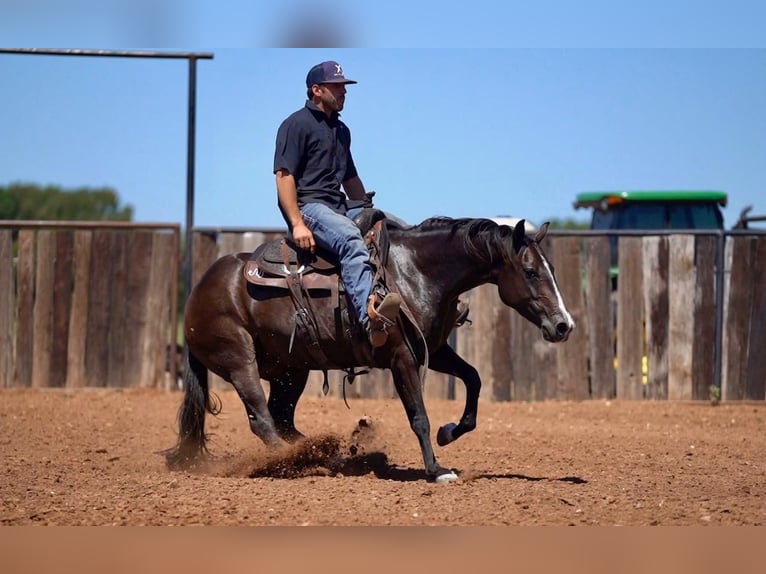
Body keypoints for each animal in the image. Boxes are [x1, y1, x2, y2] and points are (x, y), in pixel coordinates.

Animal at [168, 214, 576, 484]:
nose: (564, 325)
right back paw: (295, 461)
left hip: (291, 370)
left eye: (553, 270)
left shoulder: (434, 349)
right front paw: (436, 469)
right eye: (531, 272)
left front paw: (450, 432)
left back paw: (324, 457)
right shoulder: (402, 358)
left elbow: (473, 380)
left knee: (282, 417)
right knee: (262, 420)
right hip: (239, 361)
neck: (417, 273)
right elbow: (419, 416)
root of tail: (197, 291)